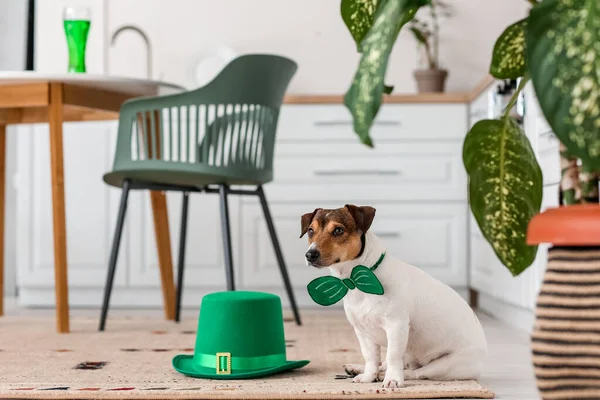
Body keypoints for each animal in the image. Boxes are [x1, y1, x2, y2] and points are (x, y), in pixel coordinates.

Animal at [300, 205, 488, 386]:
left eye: (338, 230)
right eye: (310, 230)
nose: (310, 254)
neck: (355, 280)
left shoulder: (396, 326)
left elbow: (392, 356)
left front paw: (393, 380)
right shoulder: (363, 331)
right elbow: (371, 357)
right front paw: (368, 377)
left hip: (446, 365)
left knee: (416, 372)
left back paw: (392, 375)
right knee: (388, 364)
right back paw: (358, 368)